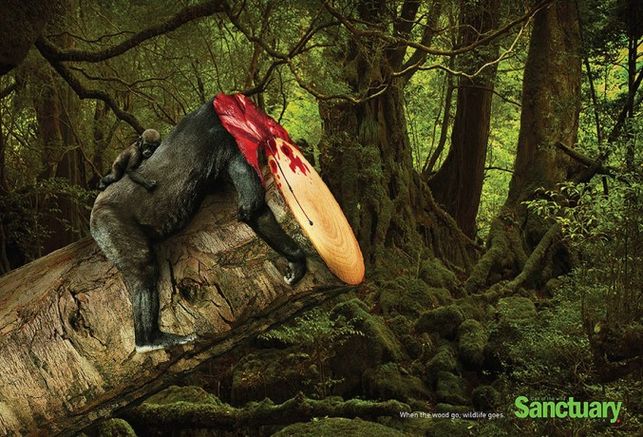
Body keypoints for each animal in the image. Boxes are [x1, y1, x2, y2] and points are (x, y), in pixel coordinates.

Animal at [90, 101, 307, 352]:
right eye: (260, 116)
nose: (276, 127)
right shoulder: (232, 142)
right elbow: (252, 209)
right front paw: (297, 259)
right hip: (107, 221)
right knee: (143, 268)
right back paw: (150, 340)